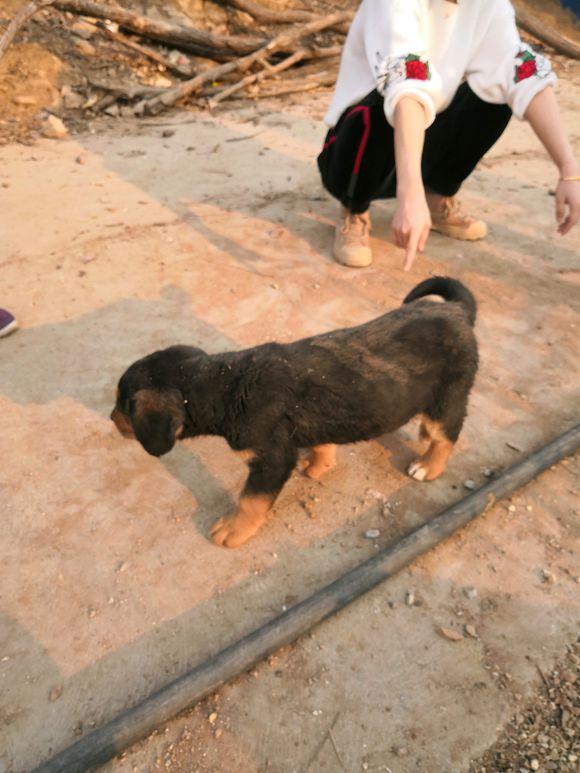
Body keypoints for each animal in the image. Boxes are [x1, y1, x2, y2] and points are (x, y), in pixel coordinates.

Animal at [111, 274, 478, 544]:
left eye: (123, 405)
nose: (111, 419)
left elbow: (250, 501)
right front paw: (319, 465)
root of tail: (457, 310)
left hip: (448, 395)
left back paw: (428, 466)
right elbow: (322, 442)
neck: (228, 384)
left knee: (447, 434)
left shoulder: (270, 460)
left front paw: (232, 530)